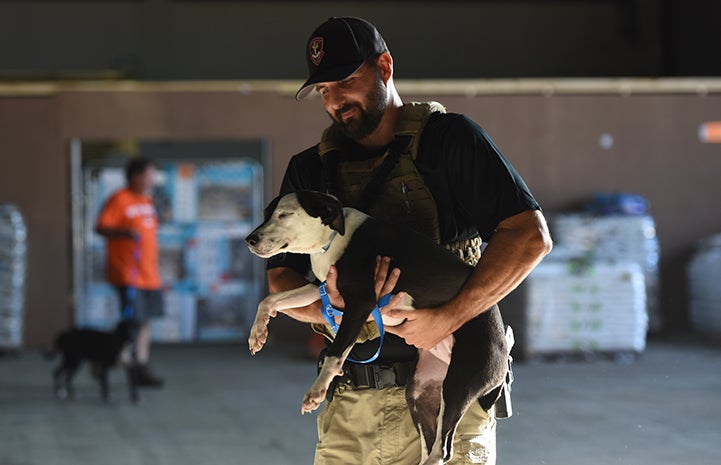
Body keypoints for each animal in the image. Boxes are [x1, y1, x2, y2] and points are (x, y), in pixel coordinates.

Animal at [245, 189, 510, 464]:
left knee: (443, 449)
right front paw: (258, 333)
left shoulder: (360, 303)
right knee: (430, 442)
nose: (249, 240)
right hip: (418, 392)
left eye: (285, 214)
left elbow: (336, 352)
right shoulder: (323, 289)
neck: (333, 238)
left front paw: (317, 390)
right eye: (267, 214)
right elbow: (271, 299)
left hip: (459, 384)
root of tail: (503, 345)